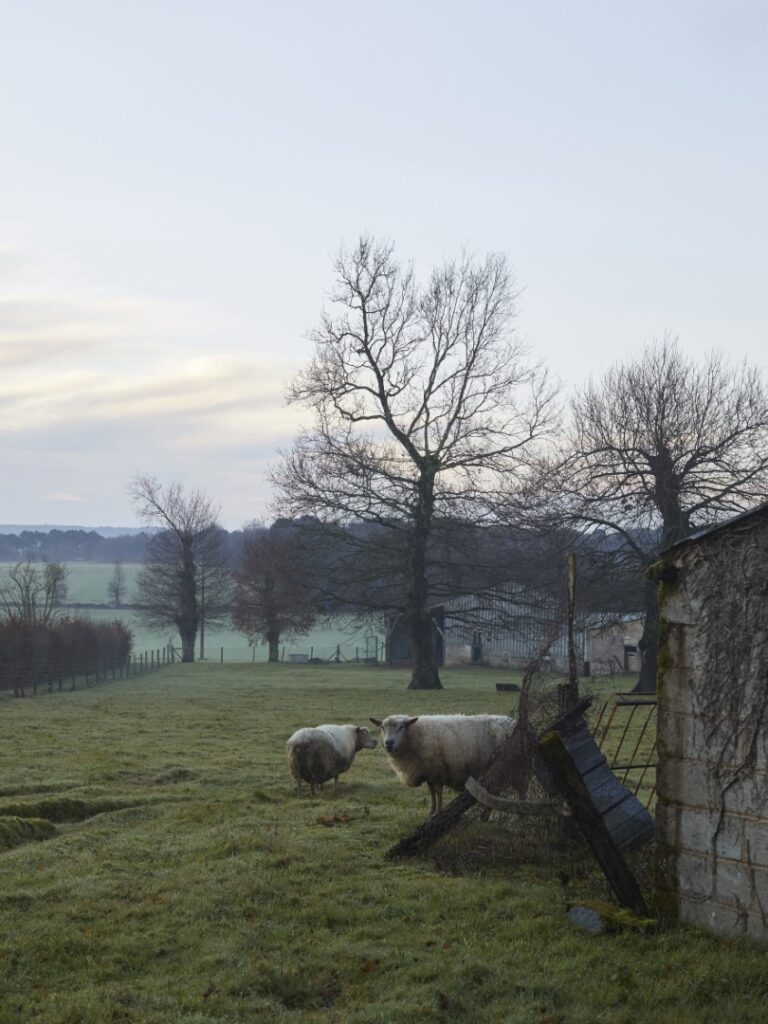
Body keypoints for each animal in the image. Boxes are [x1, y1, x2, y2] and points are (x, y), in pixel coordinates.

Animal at [369, 713, 516, 816]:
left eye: (401, 727)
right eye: (382, 728)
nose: (388, 743)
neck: (416, 735)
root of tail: (513, 721)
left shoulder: (438, 770)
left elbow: (438, 791)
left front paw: (438, 812)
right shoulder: (428, 772)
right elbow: (431, 792)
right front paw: (431, 811)